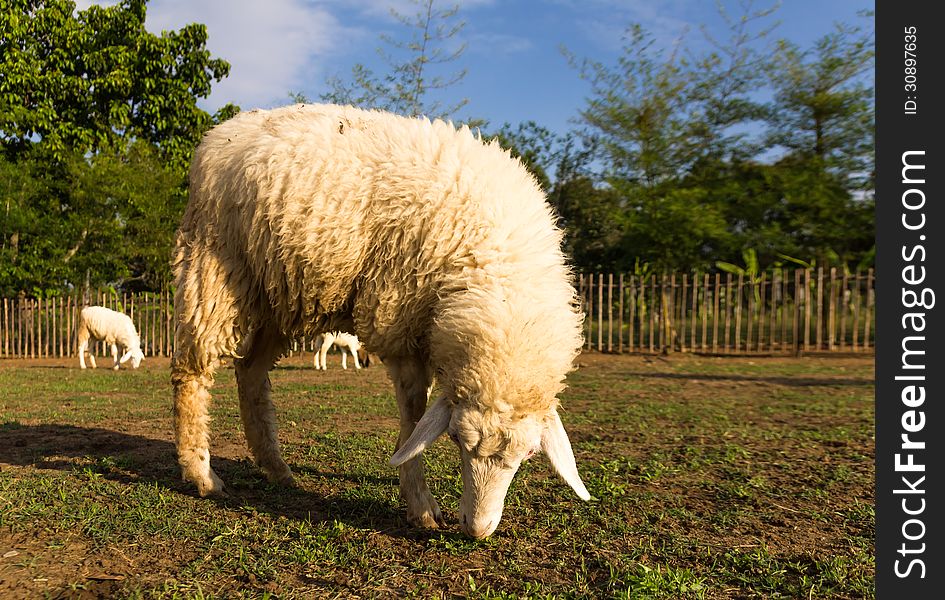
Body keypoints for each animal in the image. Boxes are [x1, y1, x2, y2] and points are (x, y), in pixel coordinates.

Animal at [166, 103, 588, 540]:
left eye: (529, 453)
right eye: (455, 438)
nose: (477, 529)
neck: (497, 268)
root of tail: (220, 134)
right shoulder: (398, 321)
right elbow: (413, 416)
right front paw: (420, 504)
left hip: (276, 293)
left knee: (250, 372)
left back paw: (276, 468)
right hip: (214, 267)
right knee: (191, 371)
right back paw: (201, 473)